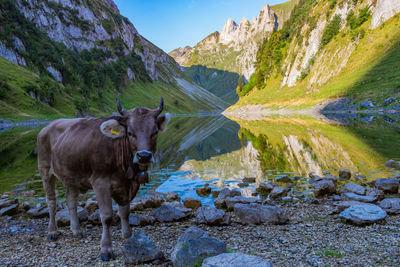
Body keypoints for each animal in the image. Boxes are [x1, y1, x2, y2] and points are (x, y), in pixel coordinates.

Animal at [37, 97, 167, 262]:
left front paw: (128, 237)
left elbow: (125, 212)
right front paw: (106, 248)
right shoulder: (100, 182)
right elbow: (106, 216)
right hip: (45, 169)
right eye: (130, 133)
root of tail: (47, 127)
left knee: (70, 200)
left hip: (71, 174)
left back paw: (76, 230)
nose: (144, 155)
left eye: (155, 132)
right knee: (51, 201)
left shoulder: (125, 185)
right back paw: (52, 232)